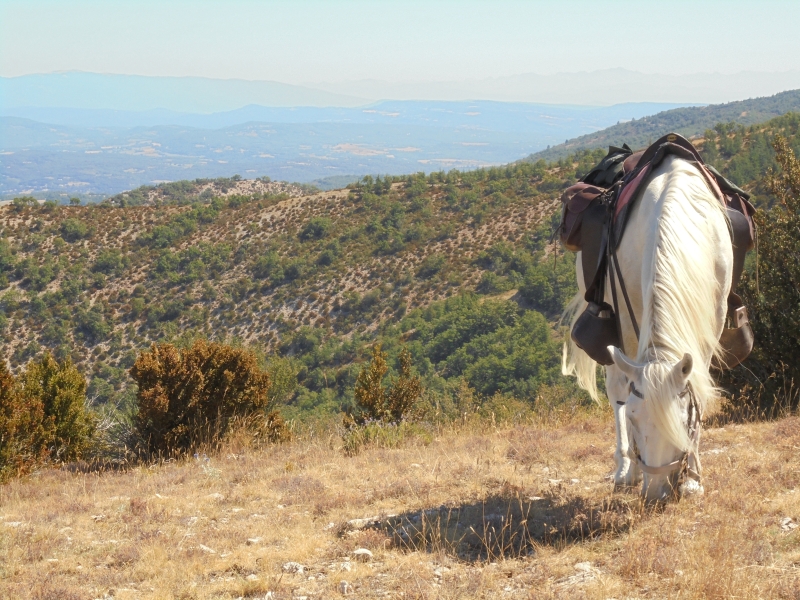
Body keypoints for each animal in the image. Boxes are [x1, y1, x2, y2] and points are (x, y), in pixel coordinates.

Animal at [564, 154, 732, 502]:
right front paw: (635, 471)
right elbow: (625, 391)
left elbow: (699, 385)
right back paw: (624, 470)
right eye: (634, 418)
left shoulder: (715, 317)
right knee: (616, 386)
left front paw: (694, 478)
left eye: (683, 419)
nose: (655, 492)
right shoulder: (628, 325)